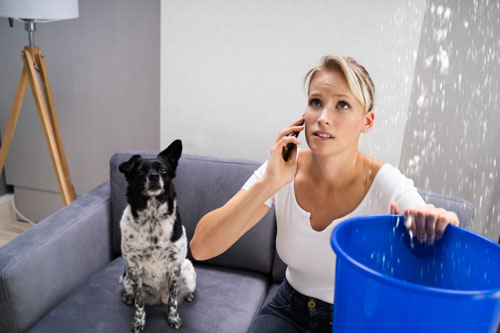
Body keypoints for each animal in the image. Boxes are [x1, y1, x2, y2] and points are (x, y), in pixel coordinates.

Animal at [118, 139, 195, 330]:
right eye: (139, 171)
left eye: (163, 170)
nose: (153, 176)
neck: (152, 218)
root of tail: (159, 297)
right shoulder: (133, 268)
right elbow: (139, 302)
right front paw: (139, 321)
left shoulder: (174, 266)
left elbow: (173, 300)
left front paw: (173, 318)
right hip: (125, 277)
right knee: (132, 293)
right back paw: (127, 297)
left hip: (188, 270)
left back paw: (188, 295)